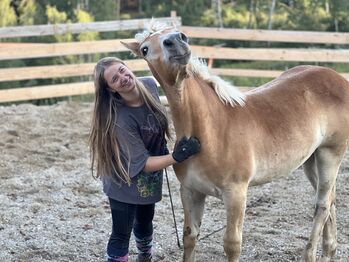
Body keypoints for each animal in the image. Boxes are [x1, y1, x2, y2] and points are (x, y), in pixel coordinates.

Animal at [121, 23, 348, 262]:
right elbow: (190, 237)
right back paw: (329, 250)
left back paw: (312, 254)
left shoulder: (236, 194)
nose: (176, 40)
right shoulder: (191, 192)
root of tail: (338, 78)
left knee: (322, 204)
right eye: (145, 49)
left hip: (331, 154)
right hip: (311, 160)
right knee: (331, 199)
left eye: (175, 33)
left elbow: (232, 244)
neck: (211, 130)